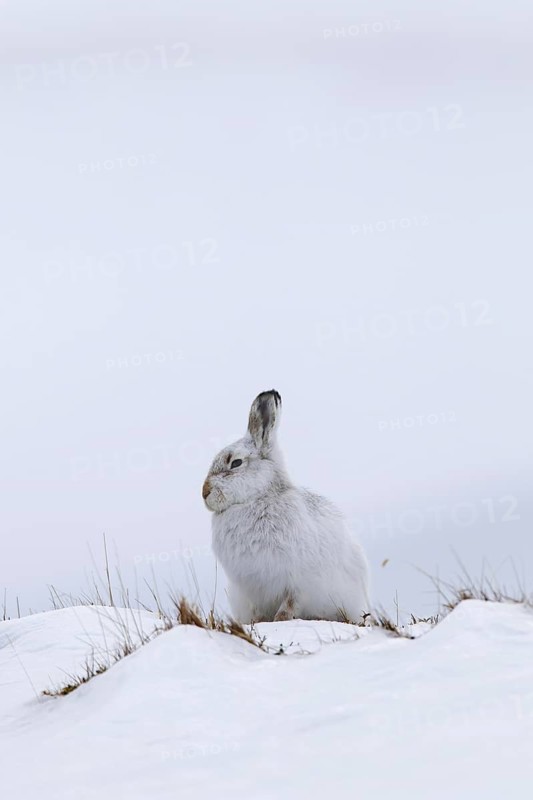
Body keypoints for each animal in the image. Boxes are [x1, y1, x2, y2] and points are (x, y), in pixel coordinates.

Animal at [202, 390, 370, 623]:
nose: (204, 493)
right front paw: (256, 623)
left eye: (235, 463)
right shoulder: (250, 588)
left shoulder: (297, 583)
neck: (258, 497)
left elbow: (289, 604)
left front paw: (280, 620)